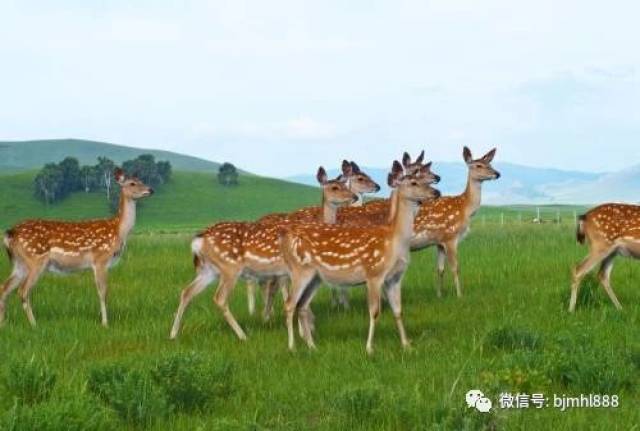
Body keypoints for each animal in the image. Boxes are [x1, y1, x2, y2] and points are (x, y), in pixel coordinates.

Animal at [0, 168, 153, 327]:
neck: (118, 230)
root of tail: (10, 233)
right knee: (22, 291)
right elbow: (103, 292)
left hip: (20, 263)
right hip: (35, 259)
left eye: (141, 180)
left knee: (4, 288)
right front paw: (105, 323)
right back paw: (34, 324)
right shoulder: (100, 259)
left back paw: (3, 324)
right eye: (132, 183)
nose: (150, 190)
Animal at [169, 167, 358, 340]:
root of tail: (199, 240)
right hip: (229, 266)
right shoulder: (292, 271)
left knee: (186, 292)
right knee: (219, 298)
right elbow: (294, 298)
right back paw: (242, 335)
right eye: (334, 187)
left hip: (209, 270)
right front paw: (305, 330)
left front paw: (305, 327)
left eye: (345, 184)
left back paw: (173, 334)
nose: (354, 197)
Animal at [279, 161, 441, 354]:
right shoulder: (374, 273)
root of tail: (286, 240)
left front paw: (407, 345)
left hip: (315, 277)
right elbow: (374, 312)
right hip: (299, 270)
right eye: (414, 182)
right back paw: (292, 347)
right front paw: (370, 348)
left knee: (302, 305)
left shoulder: (395, 277)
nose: (437, 192)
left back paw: (312, 346)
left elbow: (398, 311)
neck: (395, 242)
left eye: (423, 179)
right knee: (290, 304)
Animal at [410, 147, 500, 298]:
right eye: (479, 165)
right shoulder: (450, 237)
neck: (464, 208)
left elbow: (440, 269)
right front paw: (459, 295)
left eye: (490, 164)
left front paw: (439, 295)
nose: (497, 173)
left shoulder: (439, 242)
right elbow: (455, 267)